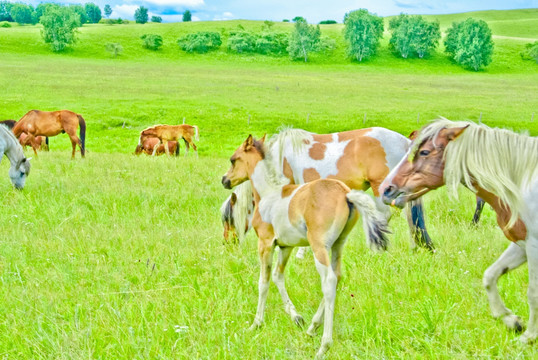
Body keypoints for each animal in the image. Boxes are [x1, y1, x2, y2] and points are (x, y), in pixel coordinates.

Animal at [220, 134, 388, 358]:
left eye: (233, 159)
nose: (225, 180)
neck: (269, 194)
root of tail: (346, 194)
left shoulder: (265, 243)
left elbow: (263, 283)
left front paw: (256, 324)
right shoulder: (285, 246)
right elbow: (278, 276)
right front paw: (297, 317)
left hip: (319, 247)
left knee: (329, 281)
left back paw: (324, 345)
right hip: (338, 245)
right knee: (337, 277)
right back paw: (312, 328)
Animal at [378, 118, 536, 344]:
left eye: (424, 152)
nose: (386, 189)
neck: (522, 184)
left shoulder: (533, 246)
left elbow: (533, 293)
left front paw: (529, 336)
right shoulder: (522, 244)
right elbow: (490, 276)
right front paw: (512, 321)